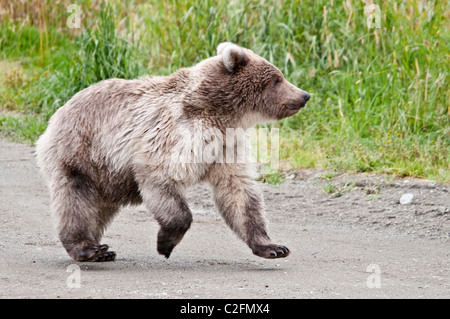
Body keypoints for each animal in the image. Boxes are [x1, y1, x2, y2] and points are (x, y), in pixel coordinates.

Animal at [35, 42, 310, 262]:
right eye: (277, 79)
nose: (304, 94)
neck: (222, 113)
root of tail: (58, 112)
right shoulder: (174, 136)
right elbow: (162, 180)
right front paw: (165, 244)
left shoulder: (226, 146)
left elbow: (240, 192)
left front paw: (273, 247)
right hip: (81, 153)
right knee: (76, 200)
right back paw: (90, 249)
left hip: (108, 175)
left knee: (98, 206)